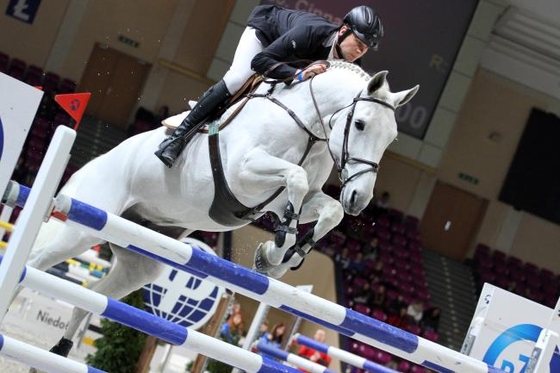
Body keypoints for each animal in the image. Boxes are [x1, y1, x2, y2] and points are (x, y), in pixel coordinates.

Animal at [20, 59, 416, 362]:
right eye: (360, 124)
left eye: (391, 138)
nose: (359, 199)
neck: (306, 123)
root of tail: (90, 165)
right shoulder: (244, 173)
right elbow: (297, 178)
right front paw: (276, 249)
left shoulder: (279, 199)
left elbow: (327, 209)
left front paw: (281, 256)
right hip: (81, 228)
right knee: (36, 261)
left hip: (140, 260)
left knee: (92, 298)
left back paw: (61, 350)